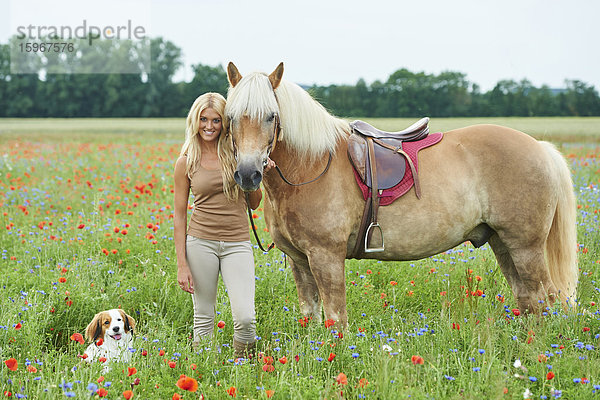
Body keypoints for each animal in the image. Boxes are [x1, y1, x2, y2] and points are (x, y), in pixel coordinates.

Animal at [224, 61, 576, 326]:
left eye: (271, 116)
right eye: (231, 117)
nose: (248, 173)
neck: (312, 166)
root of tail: (540, 148)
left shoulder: (326, 257)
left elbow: (336, 320)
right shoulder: (300, 261)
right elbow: (310, 317)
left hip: (526, 247)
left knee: (546, 299)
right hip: (503, 243)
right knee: (529, 300)